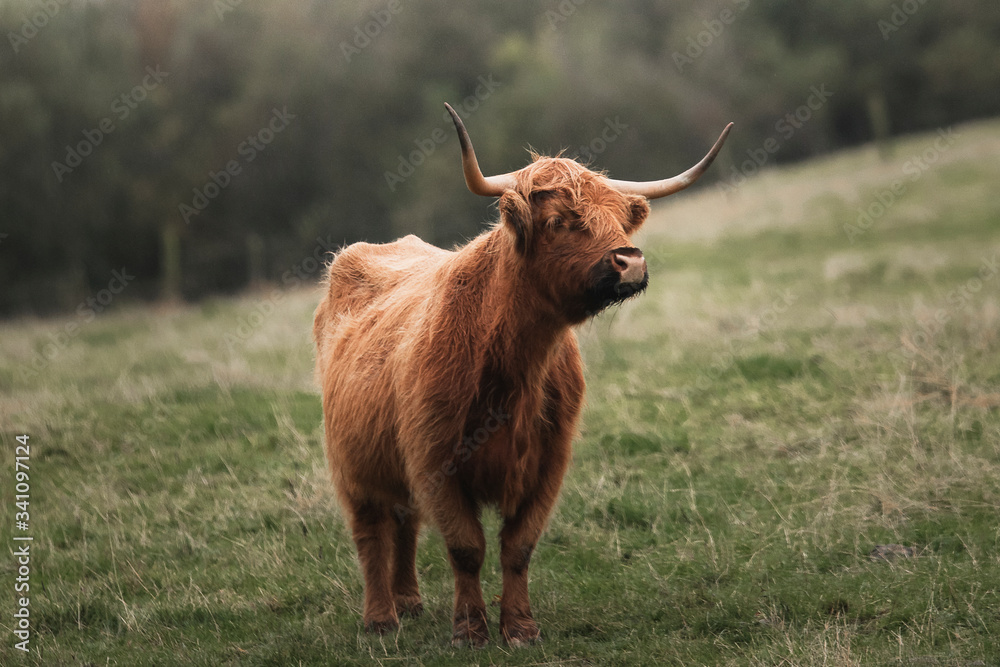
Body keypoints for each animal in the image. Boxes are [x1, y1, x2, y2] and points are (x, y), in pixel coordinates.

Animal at [312, 105, 728, 648]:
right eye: (557, 221)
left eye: (620, 220)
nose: (630, 261)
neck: (513, 368)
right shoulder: (434, 459)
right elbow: (466, 547)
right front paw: (470, 630)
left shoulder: (548, 462)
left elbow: (518, 546)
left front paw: (521, 628)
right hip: (352, 464)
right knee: (370, 533)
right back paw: (381, 618)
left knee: (404, 524)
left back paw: (409, 602)